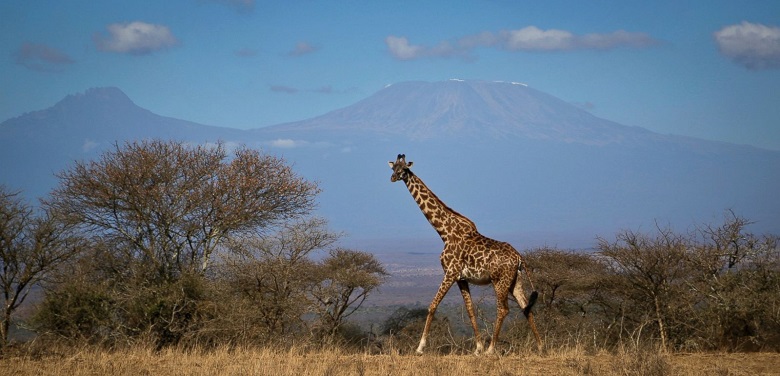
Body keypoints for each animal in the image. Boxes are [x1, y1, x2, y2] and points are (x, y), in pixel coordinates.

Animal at [388, 154, 544, 354]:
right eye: (393, 168)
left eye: (404, 169)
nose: (393, 178)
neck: (444, 231)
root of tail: (519, 258)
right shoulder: (461, 278)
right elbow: (470, 311)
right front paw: (477, 348)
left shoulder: (450, 272)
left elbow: (432, 306)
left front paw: (420, 348)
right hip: (515, 281)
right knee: (526, 307)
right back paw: (540, 346)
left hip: (499, 281)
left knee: (503, 309)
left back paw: (491, 349)